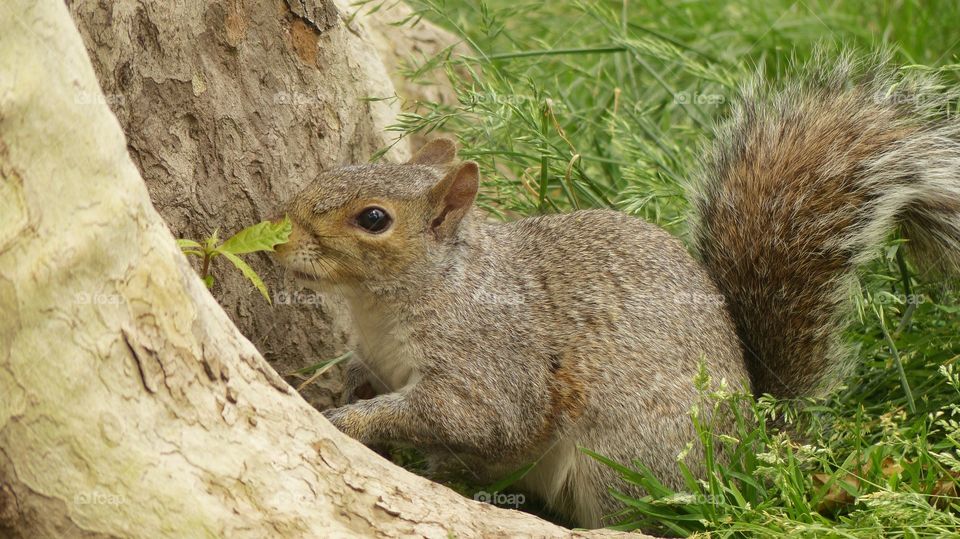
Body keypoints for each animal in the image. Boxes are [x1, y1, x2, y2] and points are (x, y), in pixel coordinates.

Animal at [274, 51, 960, 528]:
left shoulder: (490, 360)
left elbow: (475, 415)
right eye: (339, 168)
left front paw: (353, 420)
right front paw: (343, 386)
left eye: (373, 219)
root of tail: (749, 450)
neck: (389, 302)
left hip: (626, 458)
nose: (279, 241)